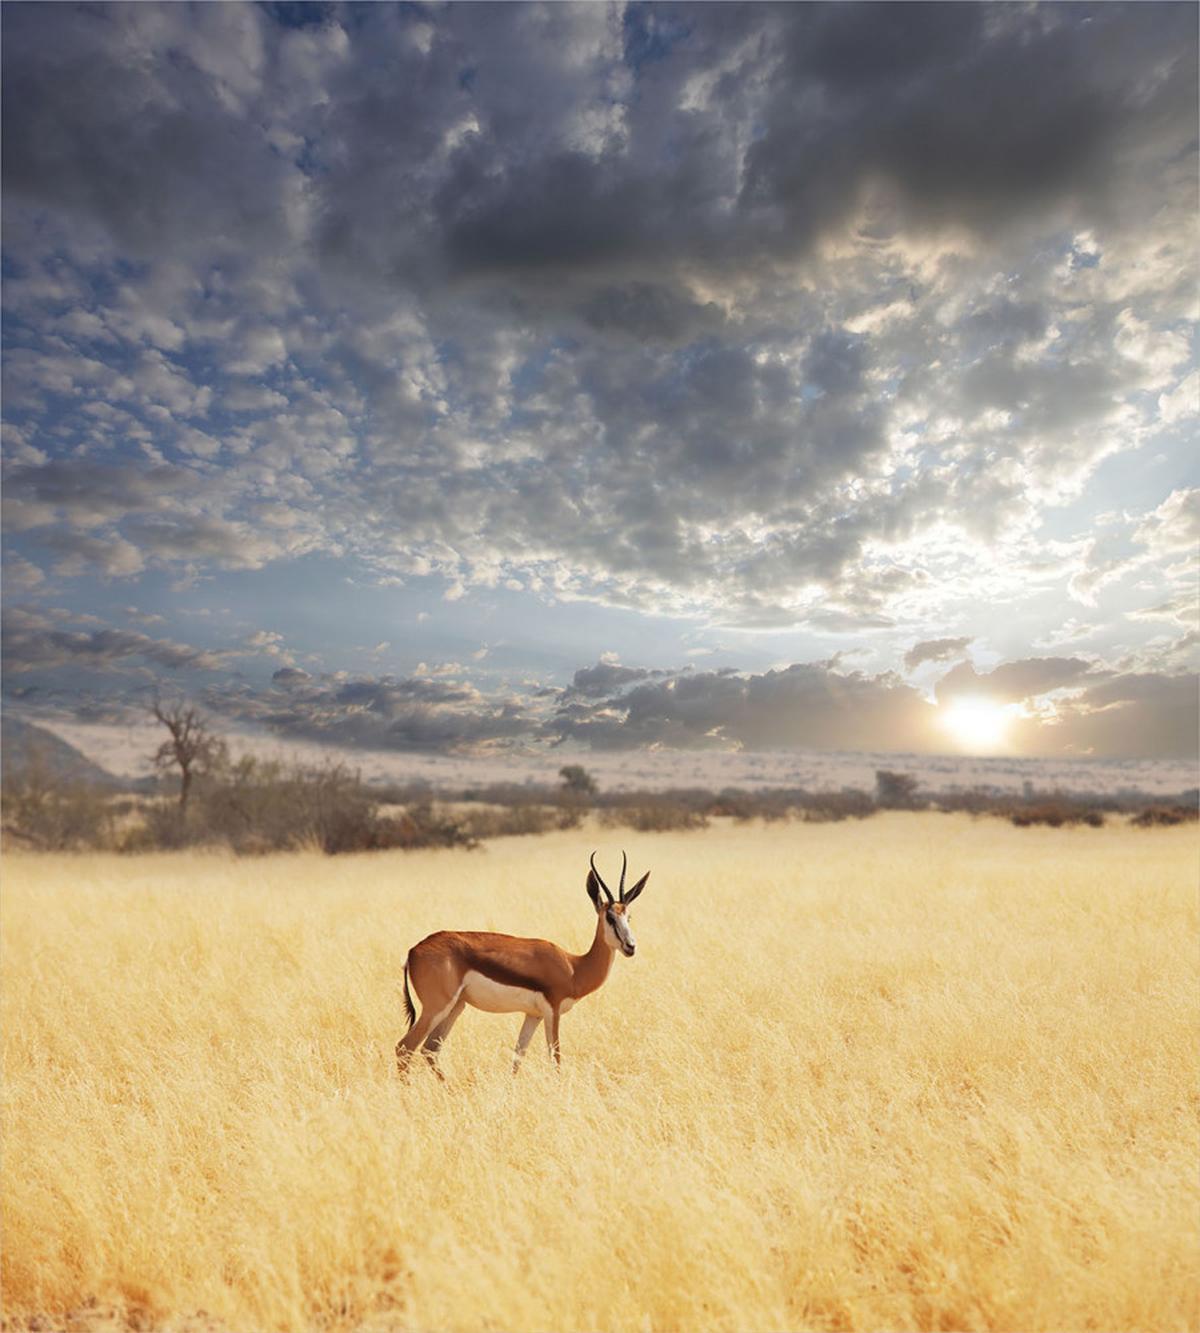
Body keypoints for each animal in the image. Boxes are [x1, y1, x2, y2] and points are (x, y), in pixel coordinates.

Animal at [396, 851, 649, 1077]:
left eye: (628, 916)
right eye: (610, 917)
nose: (630, 946)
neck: (574, 967)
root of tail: (413, 951)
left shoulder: (532, 1015)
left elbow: (517, 1058)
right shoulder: (552, 1011)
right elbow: (555, 1058)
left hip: (456, 1007)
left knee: (430, 1049)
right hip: (436, 1007)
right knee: (405, 1048)